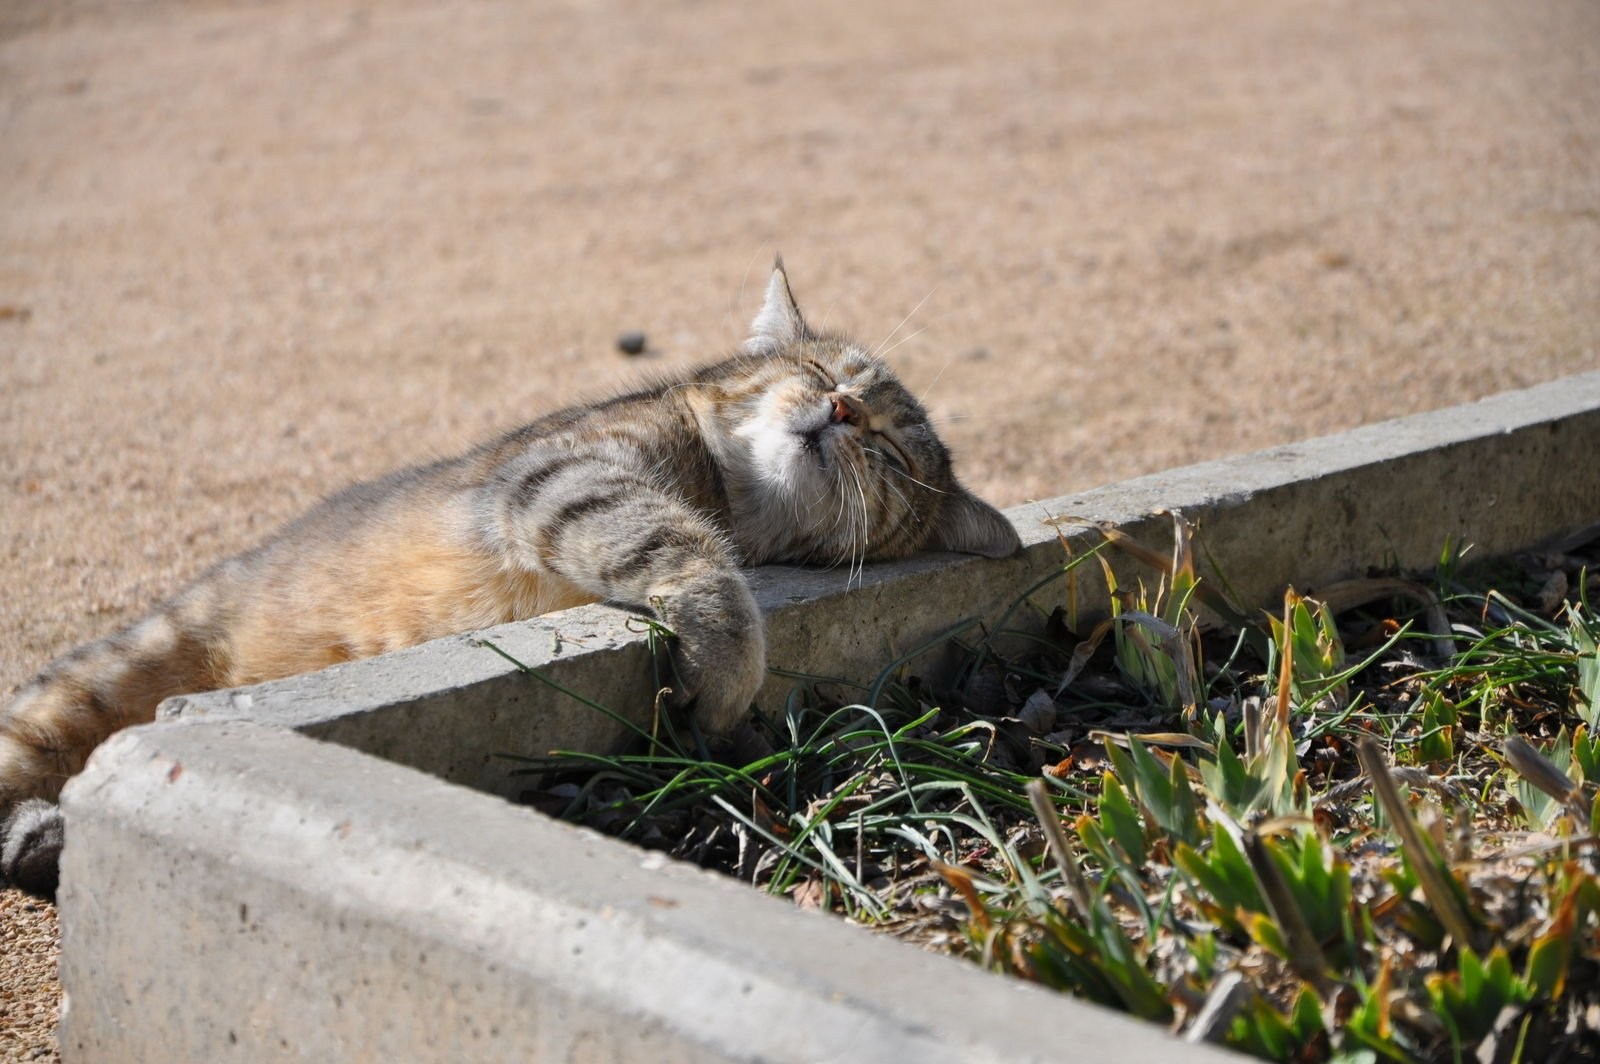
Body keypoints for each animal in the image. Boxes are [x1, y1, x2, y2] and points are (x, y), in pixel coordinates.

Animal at [0, 259, 1017, 896]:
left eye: (890, 453)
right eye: (817, 368)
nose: (840, 411)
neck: (732, 495)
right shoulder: (561, 476)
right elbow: (686, 555)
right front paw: (724, 667)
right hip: (97, 680)